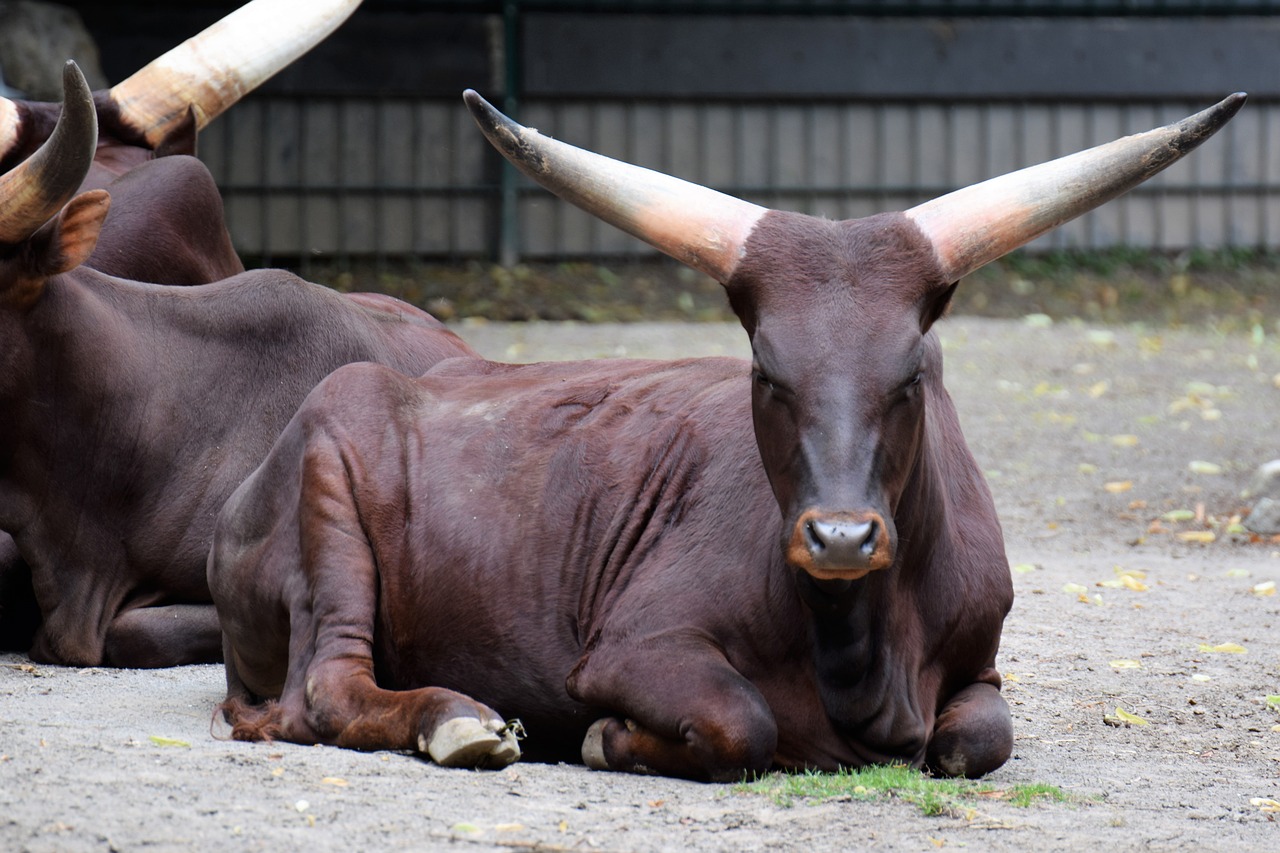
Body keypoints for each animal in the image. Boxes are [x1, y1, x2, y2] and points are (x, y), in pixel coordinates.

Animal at [209, 91, 1239, 778]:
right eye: (766, 371)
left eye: (912, 373)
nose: (840, 537)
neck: (861, 645)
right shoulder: (633, 647)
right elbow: (743, 722)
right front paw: (606, 737)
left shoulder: (982, 662)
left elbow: (976, 738)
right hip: (329, 480)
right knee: (326, 688)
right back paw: (461, 722)